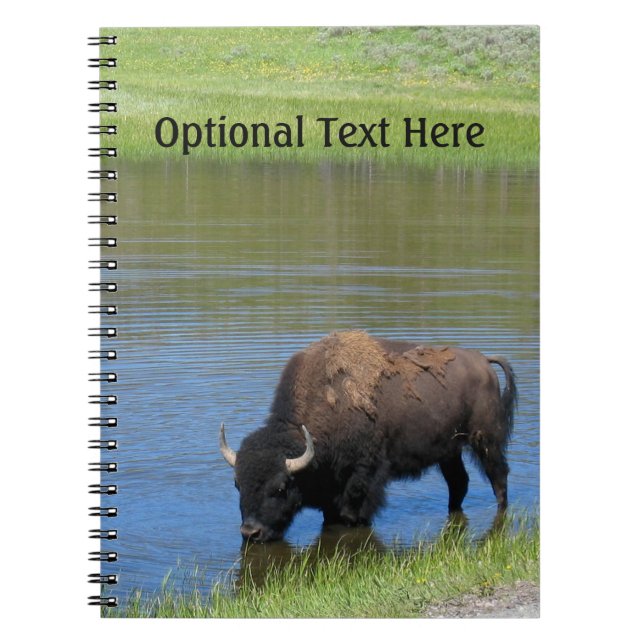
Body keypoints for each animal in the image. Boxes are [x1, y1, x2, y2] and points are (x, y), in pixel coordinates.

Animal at [220, 330, 516, 542]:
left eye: (281, 487)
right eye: (237, 484)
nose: (250, 533)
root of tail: (484, 361)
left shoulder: (363, 477)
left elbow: (353, 512)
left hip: (486, 441)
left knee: (498, 477)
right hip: (449, 452)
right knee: (459, 483)